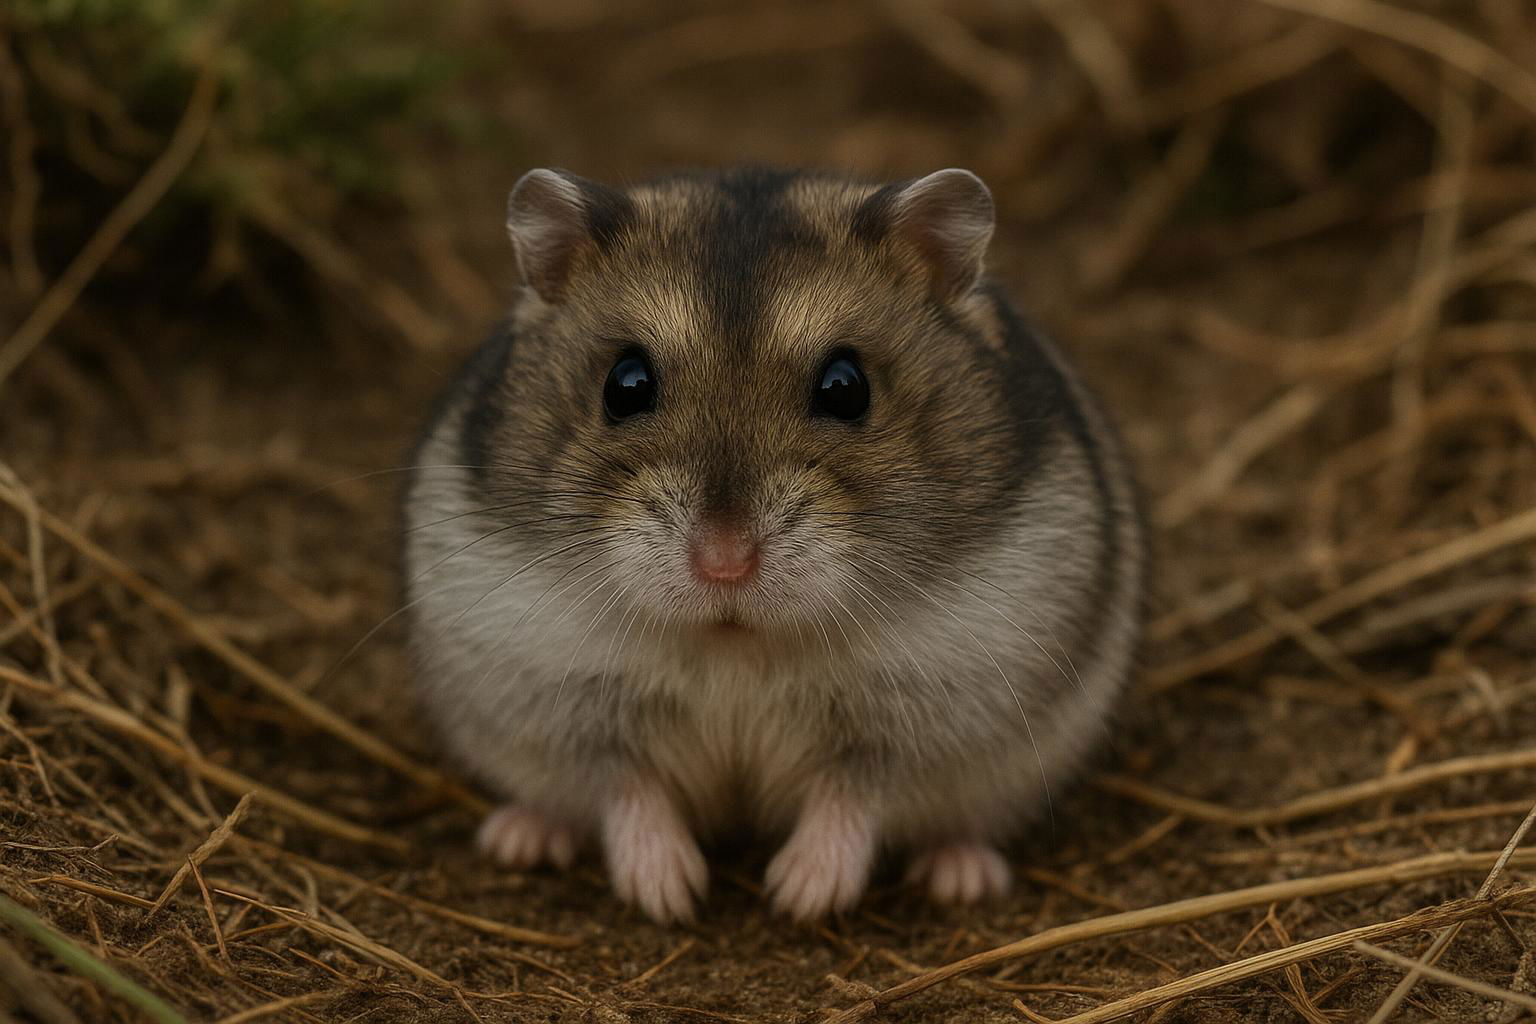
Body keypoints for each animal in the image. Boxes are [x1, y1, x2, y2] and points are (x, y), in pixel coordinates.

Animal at [402, 166, 1145, 923]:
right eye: (625, 384)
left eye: (846, 388)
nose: (724, 564)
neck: (738, 642)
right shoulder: (565, 697)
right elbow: (627, 786)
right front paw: (671, 896)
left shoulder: (925, 710)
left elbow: (854, 793)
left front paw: (797, 897)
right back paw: (518, 838)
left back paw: (962, 876)